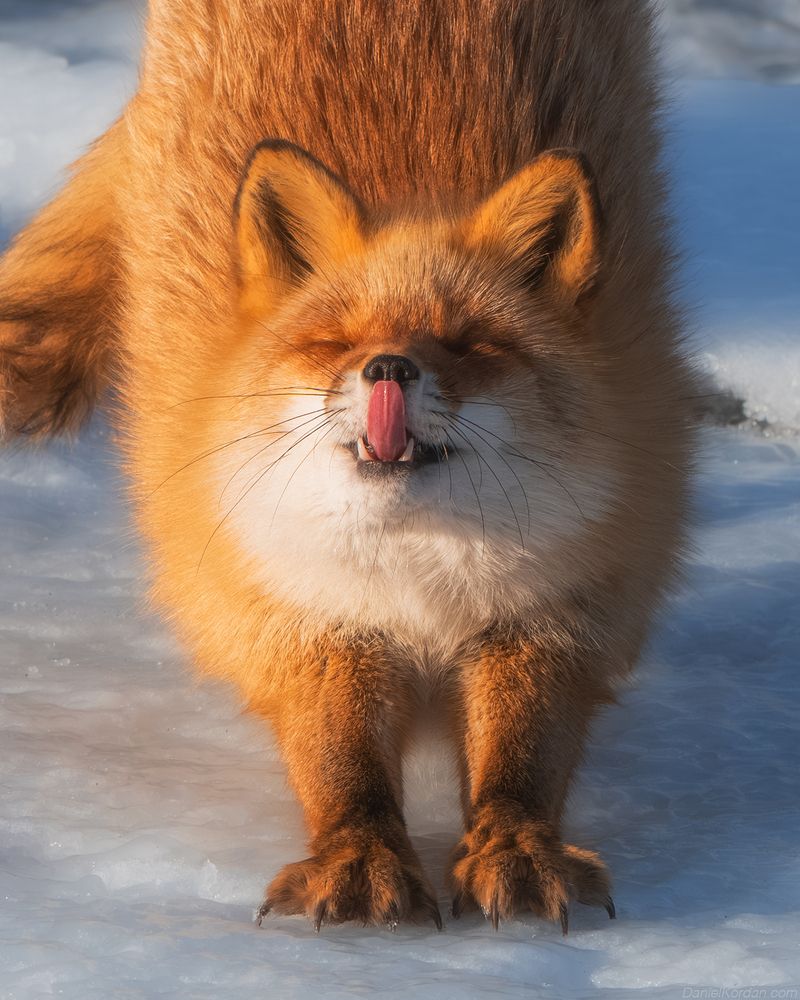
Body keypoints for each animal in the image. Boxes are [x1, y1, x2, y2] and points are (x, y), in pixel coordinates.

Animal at [0, 0, 696, 932]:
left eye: (469, 342)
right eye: (335, 340)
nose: (389, 367)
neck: (419, 578)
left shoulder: (556, 610)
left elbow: (521, 758)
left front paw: (515, 847)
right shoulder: (305, 616)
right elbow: (343, 763)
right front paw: (360, 857)